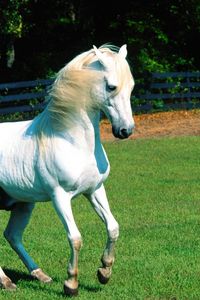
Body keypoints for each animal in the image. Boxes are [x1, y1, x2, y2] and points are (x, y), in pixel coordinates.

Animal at [0, 43, 134, 296]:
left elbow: (113, 227)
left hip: (24, 205)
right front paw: (71, 283)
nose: (126, 131)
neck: (71, 140)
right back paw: (6, 281)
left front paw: (104, 272)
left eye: (131, 86)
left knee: (12, 235)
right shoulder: (60, 196)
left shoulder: (95, 190)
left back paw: (39, 275)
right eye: (111, 86)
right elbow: (75, 238)